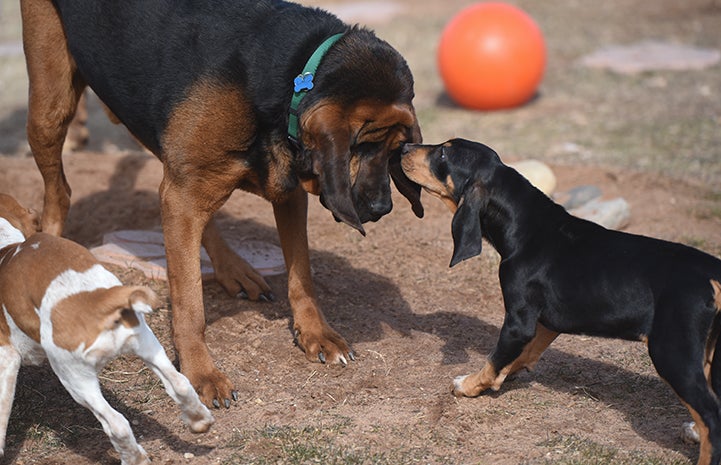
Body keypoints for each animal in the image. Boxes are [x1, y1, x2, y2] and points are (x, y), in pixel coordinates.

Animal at [0, 193, 212, 464]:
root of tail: (97, 300)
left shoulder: (6, 358)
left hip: (75, 379)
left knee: (116, 424)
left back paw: (135, 458)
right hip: (148, 345)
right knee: (181, 383)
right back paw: (199, 421)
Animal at [22, 0, 422, 406]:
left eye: (396, 150)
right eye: (363, 145)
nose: (382, 209)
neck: (293, 75)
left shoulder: (285, 192)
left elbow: (301, 274)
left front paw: (316, 334)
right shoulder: (184, 191)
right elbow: (189, 304)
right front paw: (201, 372)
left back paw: (233, 269)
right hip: (50, 108)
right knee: (60, 190)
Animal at [402, 138, 720, 464]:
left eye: (443, 153)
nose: (404, 147)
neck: (526, 226)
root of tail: (710, 271)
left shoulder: (518, 321)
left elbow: (495, 358)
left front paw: (468, 385)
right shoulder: (545, 323)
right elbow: (522, 355)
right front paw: (503, 377)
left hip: (671, 352)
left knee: (711, 415)